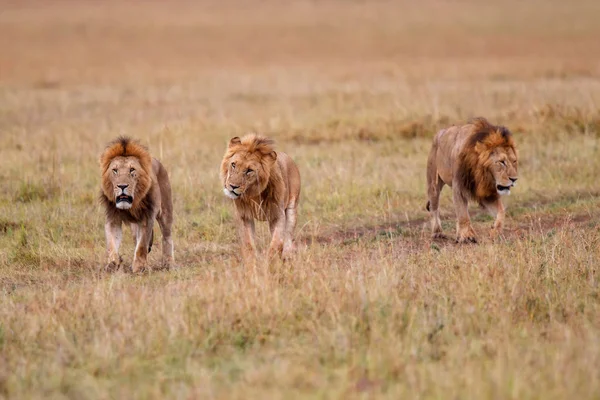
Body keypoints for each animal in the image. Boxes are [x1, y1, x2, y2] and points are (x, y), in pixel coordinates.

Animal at [98, 137, 173, 272]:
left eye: (132, 170)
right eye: (115, 170)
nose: (122, 186)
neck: (130, 206)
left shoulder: (147, 219)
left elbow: (142, 246)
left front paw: (139, 267)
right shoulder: (113, 219)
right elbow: (112, 243)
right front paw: (112, 264)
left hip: (166, 212)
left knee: (167, 237)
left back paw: (169, 263)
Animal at [220, 133, 302, 268]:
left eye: (249, 170)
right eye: (233, 164)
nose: (232, 186)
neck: (253, 194)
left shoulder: (277, 214)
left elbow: (277, 241)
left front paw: (270, 262)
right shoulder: (244, 215)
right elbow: (249, 243)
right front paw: (251, 263)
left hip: (292, 207)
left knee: (288, 235)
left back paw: (287, 255)